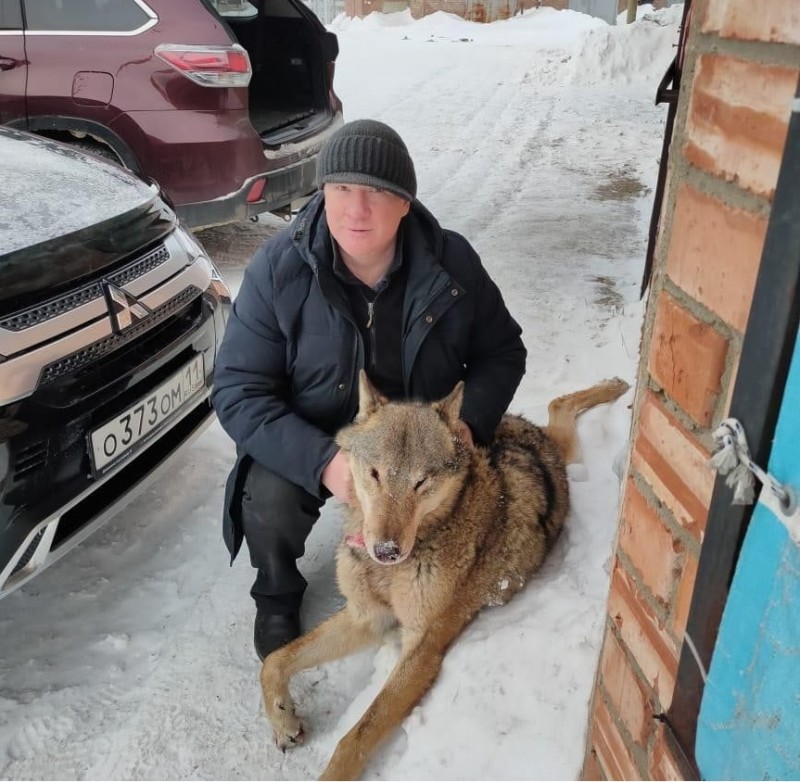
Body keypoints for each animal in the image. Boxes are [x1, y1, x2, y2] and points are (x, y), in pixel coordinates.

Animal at [260, 370, 628, 780]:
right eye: (375, 474)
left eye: (421, 482)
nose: (386, 550)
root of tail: (529, 434)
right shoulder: (366, 617)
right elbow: (274, 661)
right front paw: (283, 720)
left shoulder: (423, 647)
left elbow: (353, 739)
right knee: (557, 404)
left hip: (568, 457)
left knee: (559, 406)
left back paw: (614, 387)